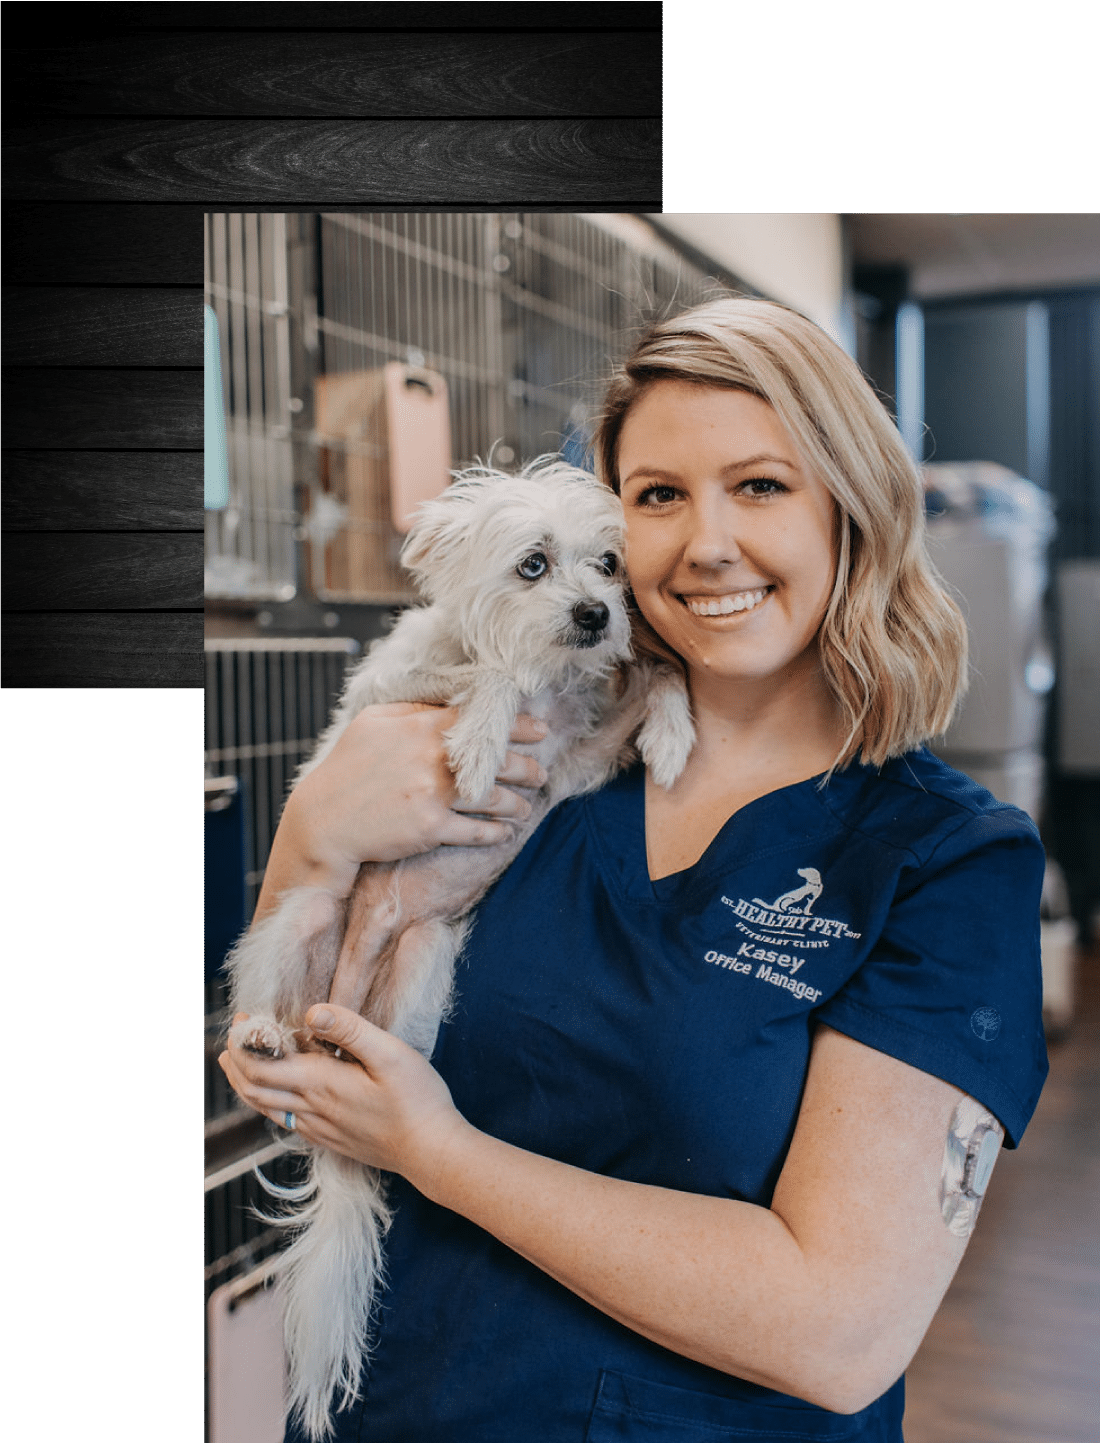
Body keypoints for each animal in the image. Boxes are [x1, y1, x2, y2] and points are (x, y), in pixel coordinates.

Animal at [226, 455, 690, 1437]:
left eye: (609, 564)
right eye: (533, 565)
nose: (597, 616)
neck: (550, 676)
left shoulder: (576, 761)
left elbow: (654, 681)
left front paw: (674, 733)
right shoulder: (385, 698)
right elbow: (484, 676)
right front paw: (479, 738)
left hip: (422, 964)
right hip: (301, 918)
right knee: (266, 999)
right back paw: (263, 1035)